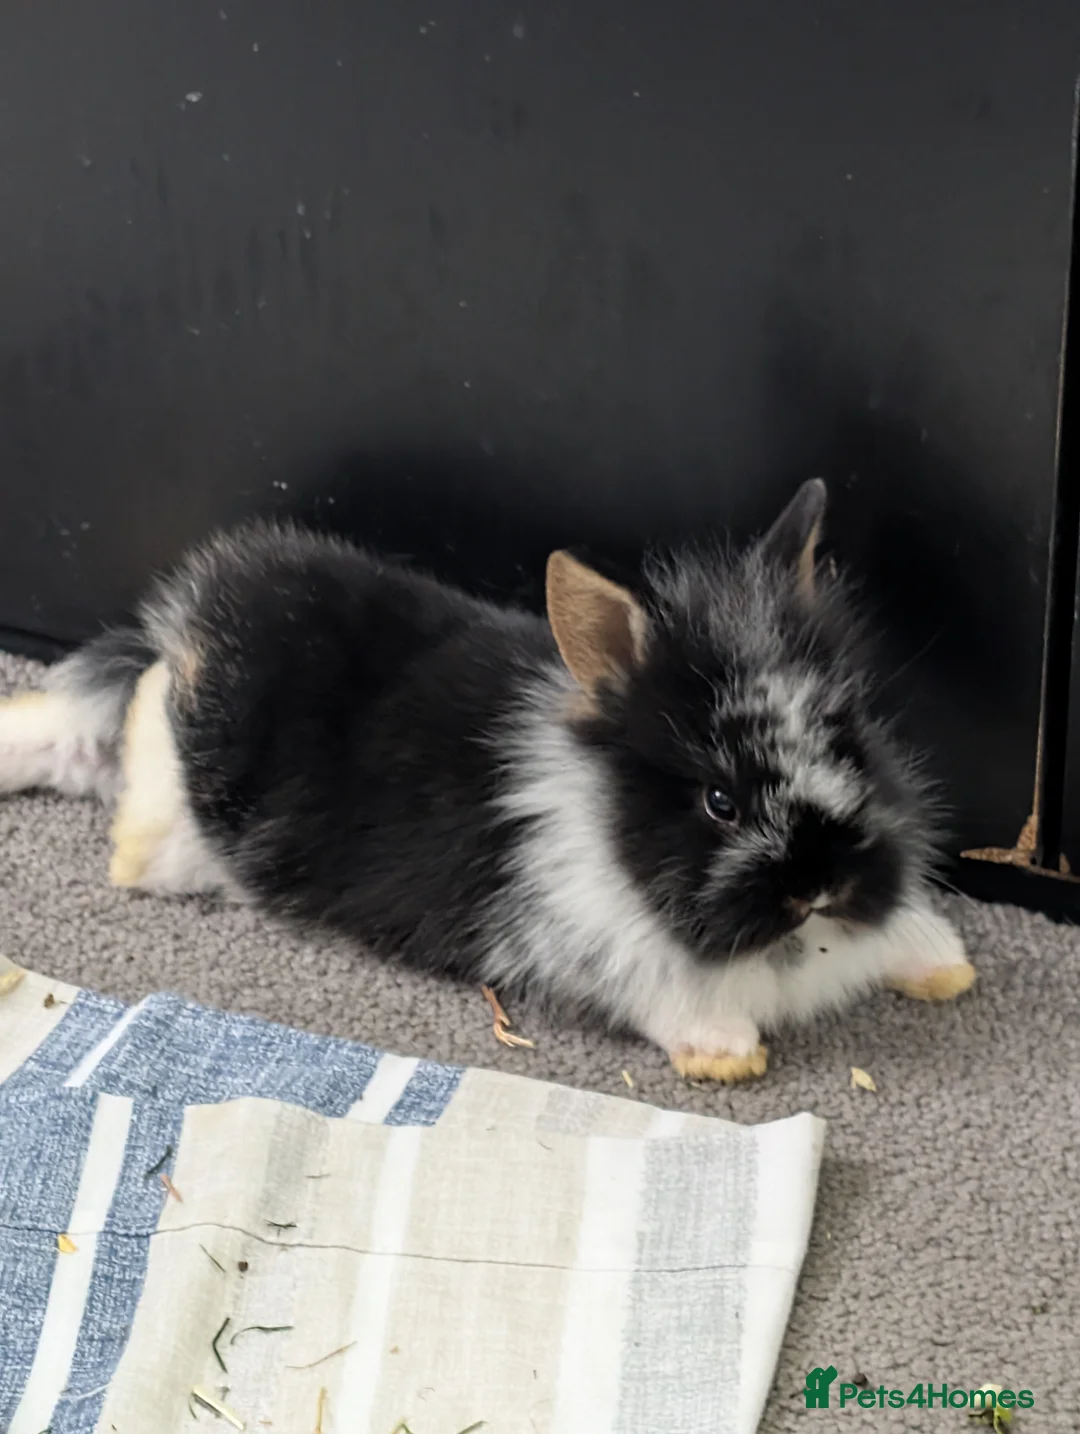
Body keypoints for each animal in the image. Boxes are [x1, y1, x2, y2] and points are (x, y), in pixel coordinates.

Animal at [0, 478, 974, 1080]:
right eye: (719, 801)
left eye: (850, 746)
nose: (820, 885)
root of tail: (187, 628)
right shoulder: (604, 952)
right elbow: (673, 999)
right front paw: (727, 1054)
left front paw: (945, 967)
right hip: (185, 820)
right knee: (138, 761)